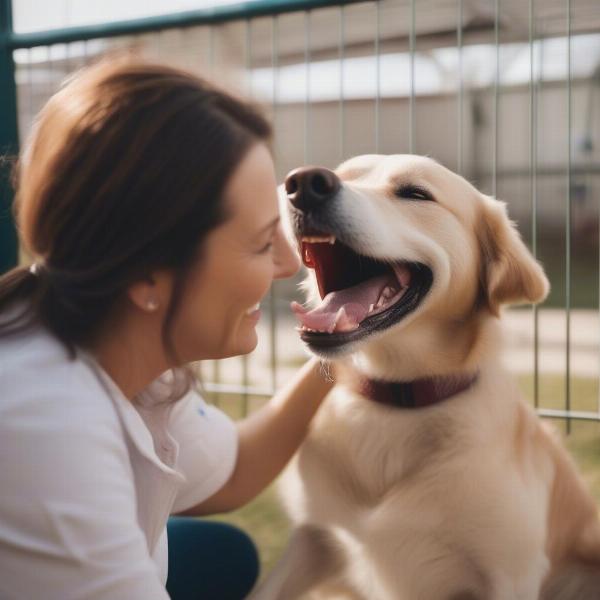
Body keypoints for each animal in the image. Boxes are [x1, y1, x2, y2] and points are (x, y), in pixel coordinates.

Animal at [251, 155, 600, 600]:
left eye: (415, 193)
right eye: (342, 174)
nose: (303, 184)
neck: (397, 399)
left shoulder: (509, 573)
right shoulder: (311, 536)